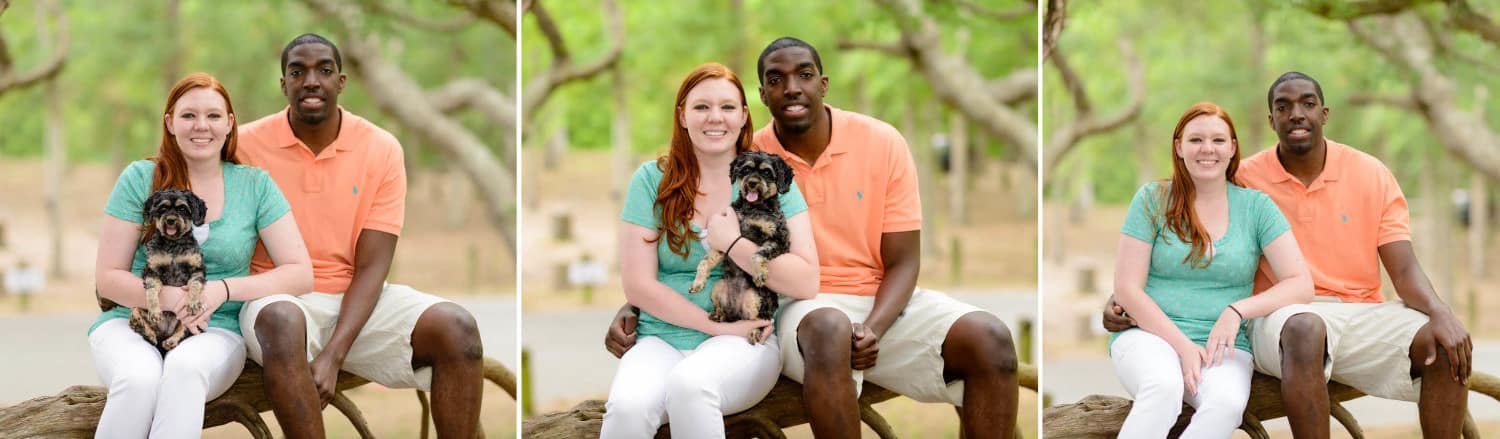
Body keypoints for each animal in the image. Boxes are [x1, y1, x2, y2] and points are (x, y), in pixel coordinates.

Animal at [130, 188, 208, 352]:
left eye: (182, 209)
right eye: (163, 208)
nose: (171, 220)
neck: (173, 244)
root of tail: (164, 333)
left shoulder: (197, 269)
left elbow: (195, 284)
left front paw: (192, 303)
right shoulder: (151, 270)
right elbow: (152, 289)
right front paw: (154, 311)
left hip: (191, 323)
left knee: (183, 330)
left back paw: (171, 341)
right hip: (134, 308)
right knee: (141, 324)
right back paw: (152, 336)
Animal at [690, 150, 798, 341]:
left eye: (767, 172)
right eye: (746, 169)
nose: (752, 182)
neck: (752, 208)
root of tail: (735, 310)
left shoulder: (780, 240)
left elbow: (758, 254)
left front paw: (759, 273)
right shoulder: (724, 243)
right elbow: (705, 261)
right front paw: (698, 281)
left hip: (755, 298)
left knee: (761, 319)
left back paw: (755, 331)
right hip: (718, 287)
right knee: (726, 313)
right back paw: (718, 315)